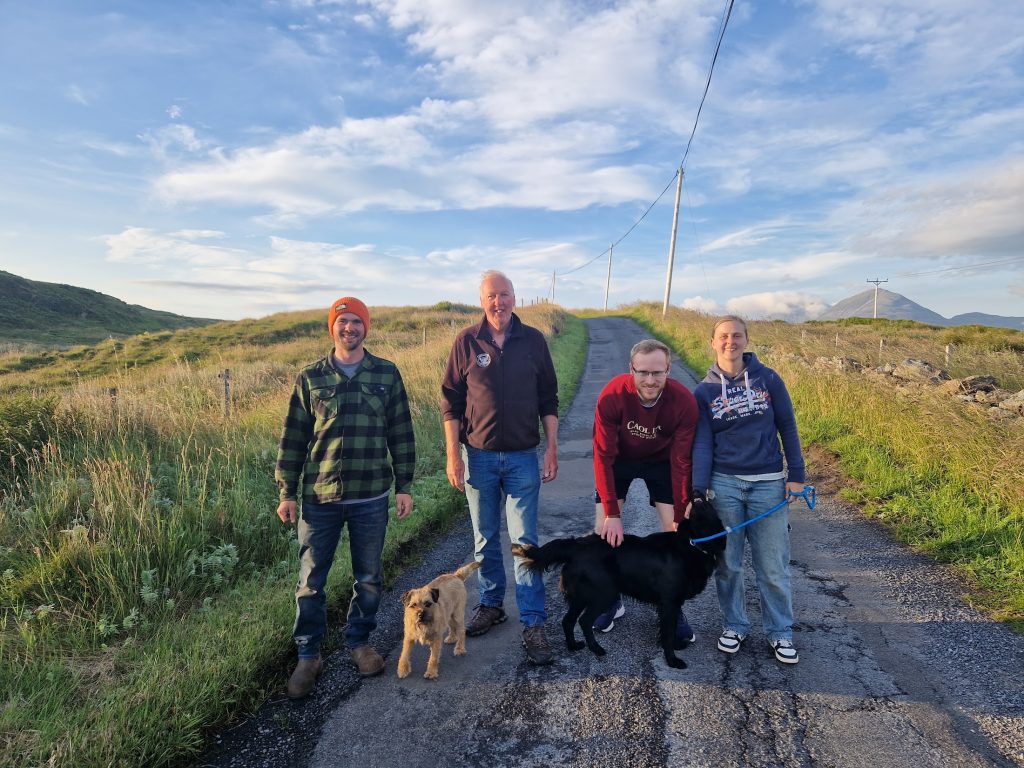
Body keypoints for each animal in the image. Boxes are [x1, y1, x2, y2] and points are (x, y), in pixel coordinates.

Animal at [520, 501, 729, 671]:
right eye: (705, 506)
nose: (696, 493)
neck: (692, 543)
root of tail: (576, 545)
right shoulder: (669, 602)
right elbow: (668, 632)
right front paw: (672, 660)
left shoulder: (673, 603)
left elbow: (672, 627)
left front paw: (676, 646)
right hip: (604, 594)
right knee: (584, 621)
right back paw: (597, 649)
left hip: (582, 596)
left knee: (567, 620)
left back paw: (573, 646)